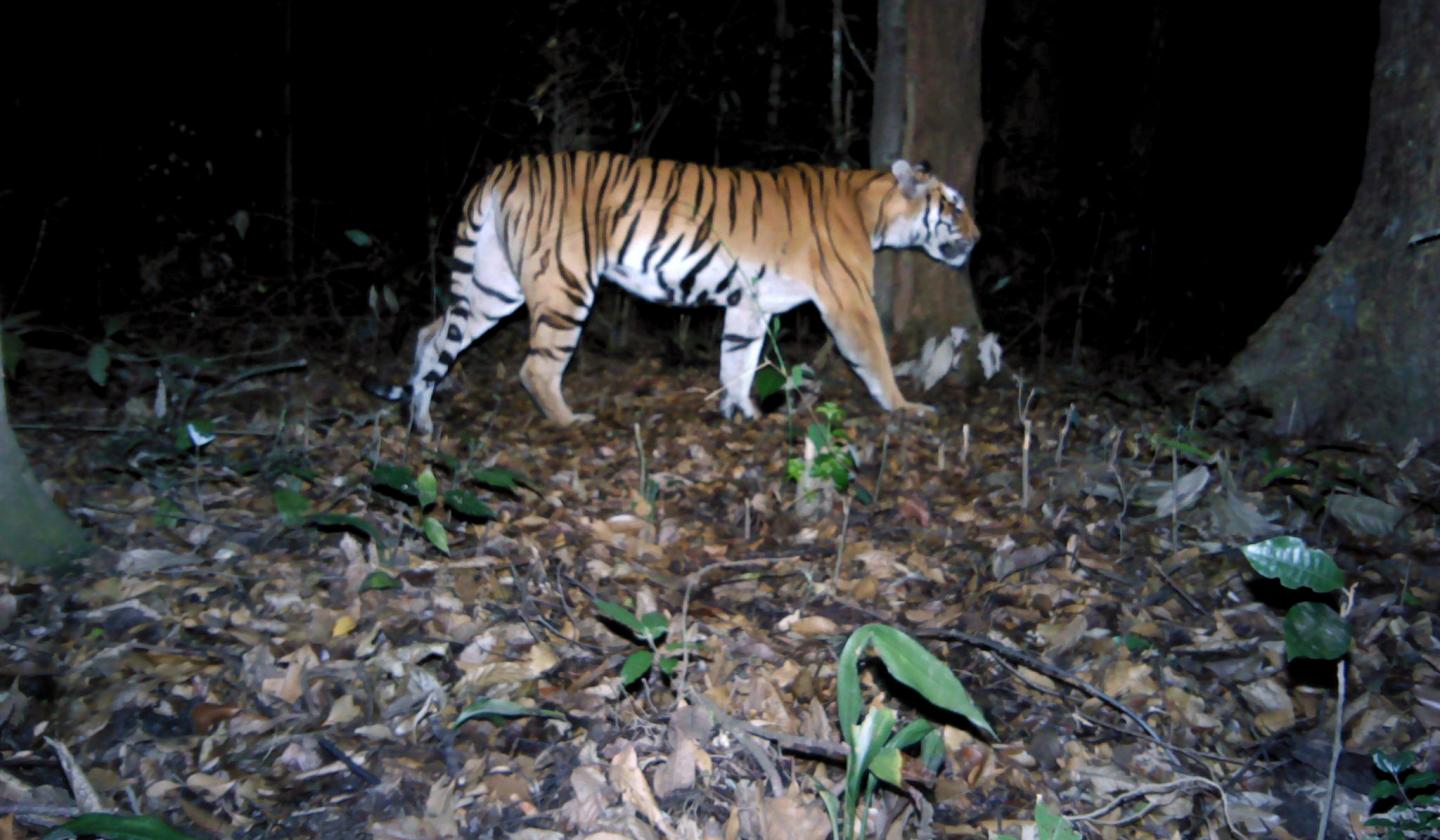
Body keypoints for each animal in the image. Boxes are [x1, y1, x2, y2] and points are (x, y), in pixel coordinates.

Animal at [364, 151, 979, 436]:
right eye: (954, 204)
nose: (978, 238)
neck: (870, 205)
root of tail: (502, 170)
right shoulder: (849, 300)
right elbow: (874, 357)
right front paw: (906, 407)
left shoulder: (749, 304)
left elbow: (738, 360)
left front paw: (741, 412)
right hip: (564, 283)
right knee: (535, 367)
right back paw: (569, 421)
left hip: (496, 283)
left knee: (431, 333)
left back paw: (422, 422)